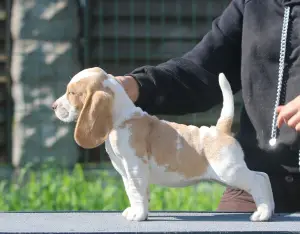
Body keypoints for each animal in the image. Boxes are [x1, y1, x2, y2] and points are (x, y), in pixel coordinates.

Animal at [51, 67, 274, 221]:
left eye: (72, 93)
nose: (53, 106)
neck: (122, 118)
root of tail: (220, 129)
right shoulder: (127, 172)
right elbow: (135, 192)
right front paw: (138, 211)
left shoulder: (134, 167)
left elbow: (136, 192)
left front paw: (138, 215)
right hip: (230, 173)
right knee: (263, 175)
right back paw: (269, 209)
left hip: (229, 171)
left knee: (257, 180)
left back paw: (262, 214)